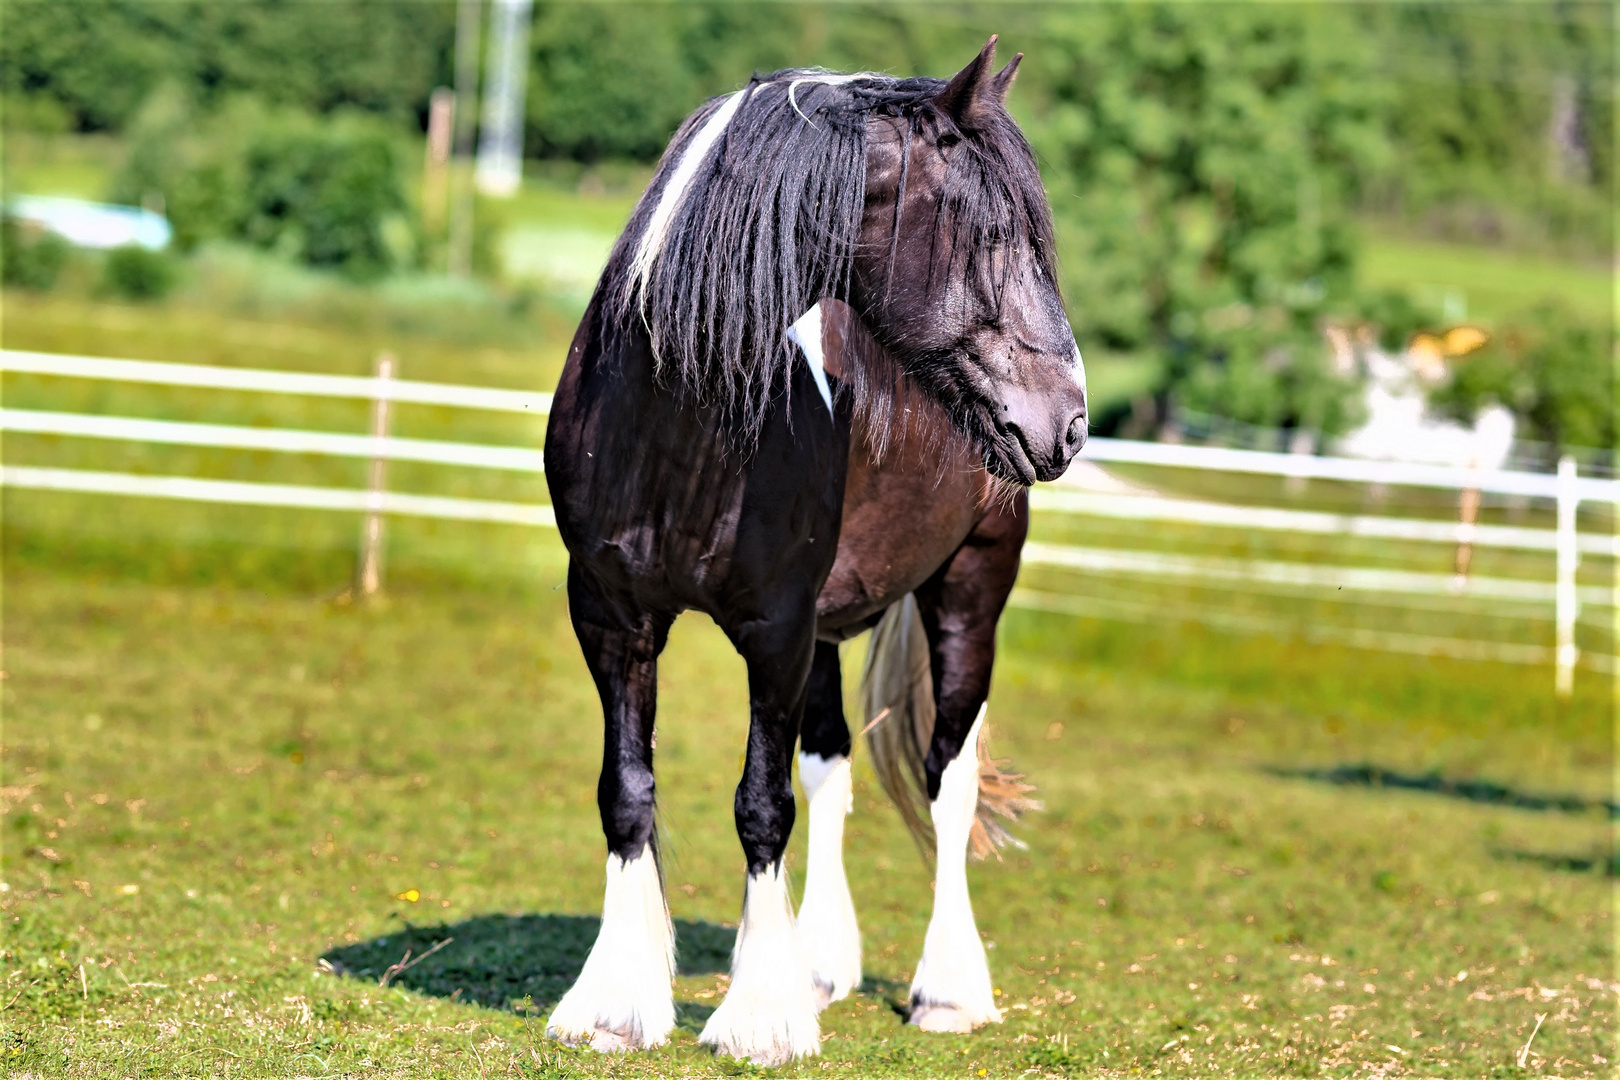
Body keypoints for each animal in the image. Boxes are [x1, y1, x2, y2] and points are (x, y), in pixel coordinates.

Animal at [544, 40, 1088, 1062]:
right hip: (832, 626)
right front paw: (614, 1005)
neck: (681, 425)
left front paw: (759, 1019)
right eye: (995, 236)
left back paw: (947, 990)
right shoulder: (611, 618)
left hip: (970, 591)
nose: (1071, 421)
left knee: (947, 783)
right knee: (832, 768)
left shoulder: (775, 632)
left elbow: (762, 806)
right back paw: (822, 963)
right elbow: (627, 791)